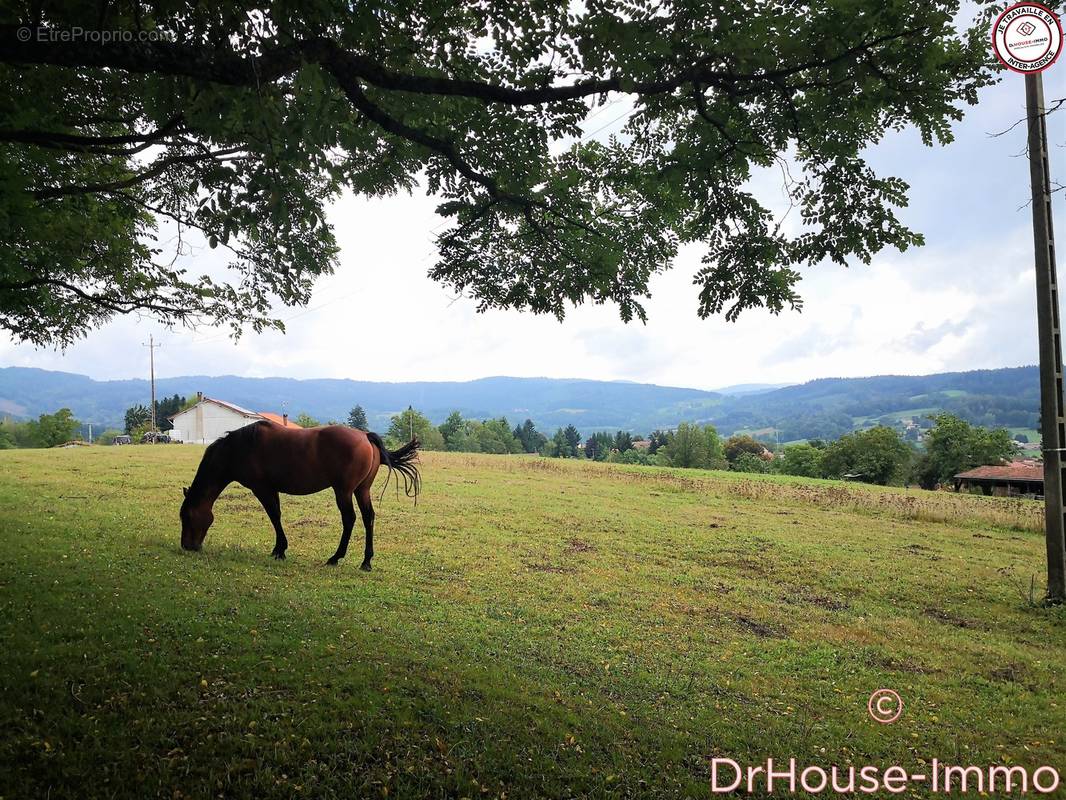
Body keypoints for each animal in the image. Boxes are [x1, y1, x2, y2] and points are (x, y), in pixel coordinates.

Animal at [179, 422, 420, 571]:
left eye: (187, 517)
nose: (187, 546)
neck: (240, 448)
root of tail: (365, 436)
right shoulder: (270, 489)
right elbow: (276, 516)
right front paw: (279, 549)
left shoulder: (262, 488)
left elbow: (274, 516)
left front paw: (280, 550)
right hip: (362, 490)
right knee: (368, 517)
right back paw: (366, 561)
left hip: (343, 491)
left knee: (349, 519)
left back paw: (336, 557)